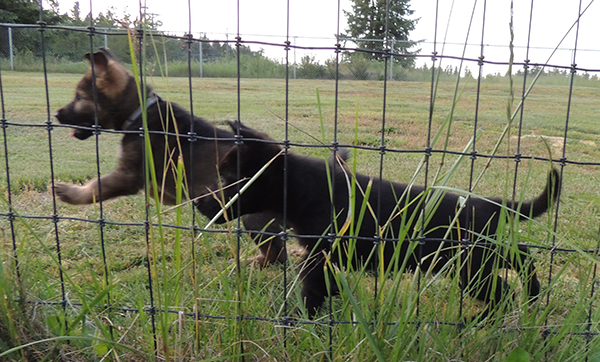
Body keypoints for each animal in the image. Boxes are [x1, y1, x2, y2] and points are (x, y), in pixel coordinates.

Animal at [55, 48, 288, 266]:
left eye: (79, 98)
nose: (56, 114)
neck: (139, 112)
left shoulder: (128, 175)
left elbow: (97, 187)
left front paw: (69, 193)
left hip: (253, 216)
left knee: (277, 253)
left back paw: (253, 263)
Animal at [195, 121, 560, 316]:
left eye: (227, 177)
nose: (199, 202)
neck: (301, 187)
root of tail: (494, 204)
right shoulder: (320, 254)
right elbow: (320, 283)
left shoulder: (321, 251)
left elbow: (311, 285)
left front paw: (301, 317)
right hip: (479, 257)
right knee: (520, 260)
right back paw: (531, 293)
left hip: (470, 266)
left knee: (505, 289)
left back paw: (488, 315)